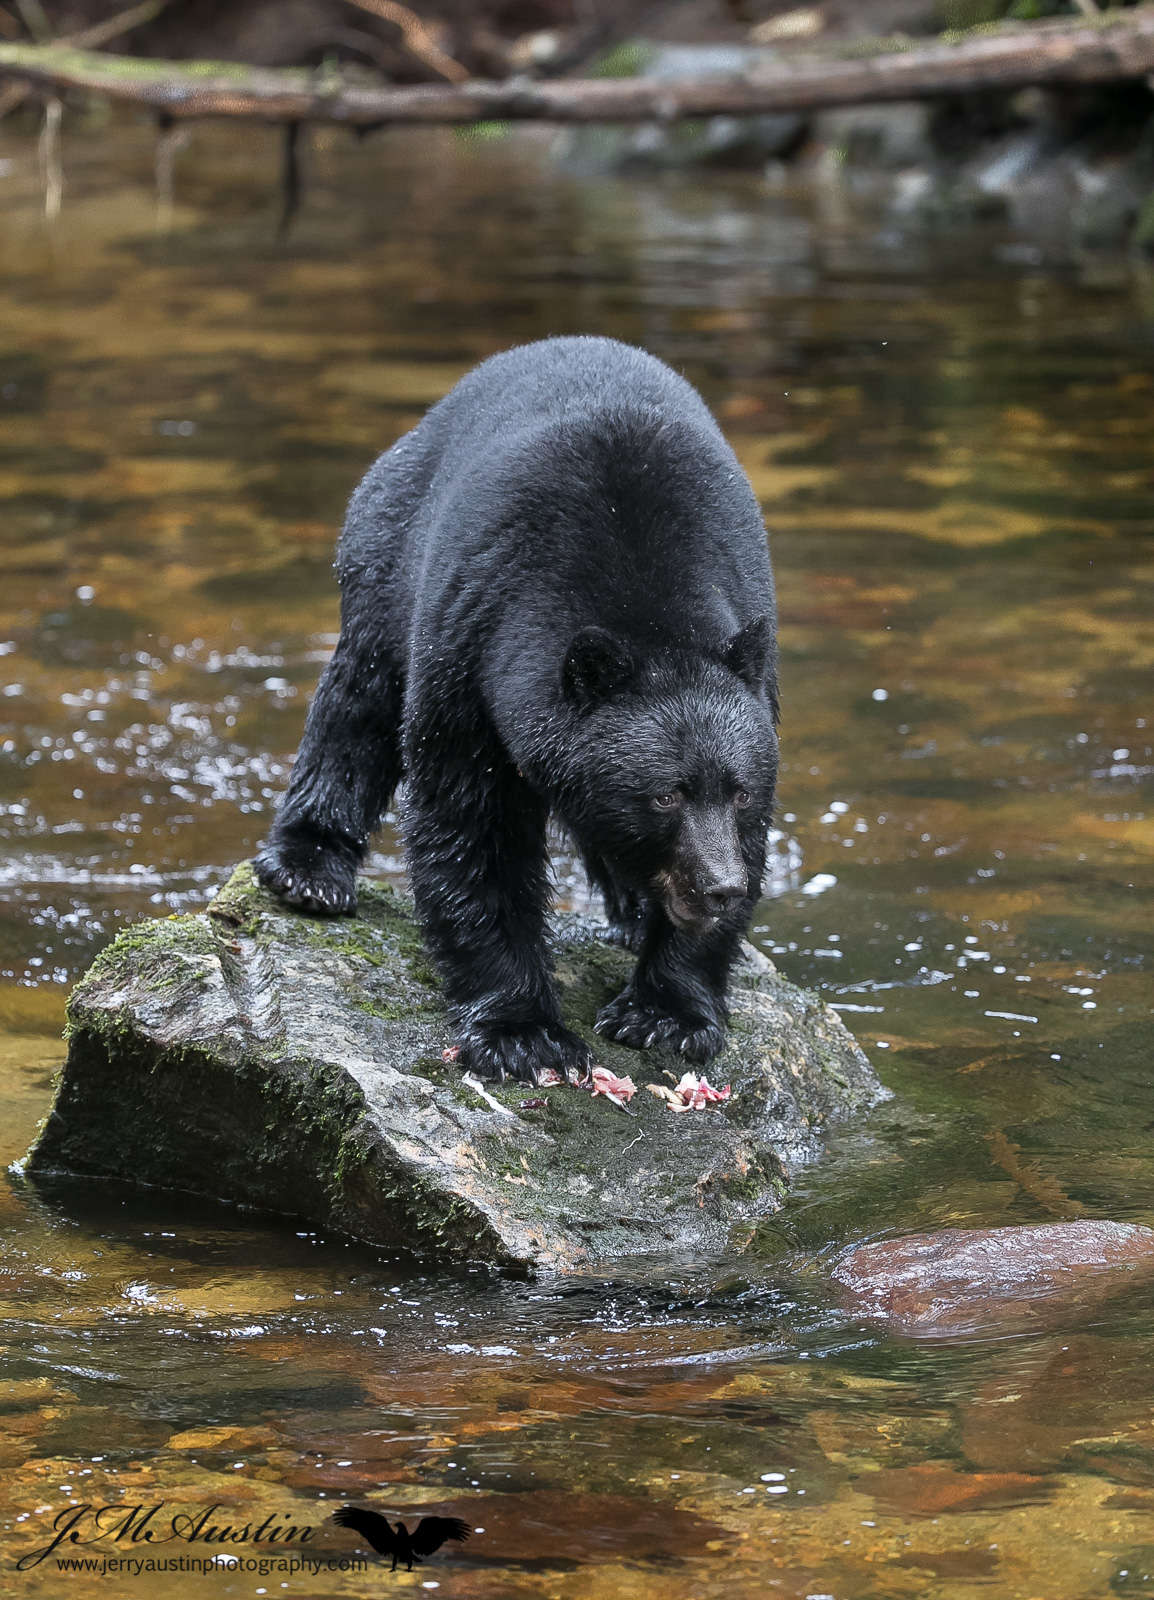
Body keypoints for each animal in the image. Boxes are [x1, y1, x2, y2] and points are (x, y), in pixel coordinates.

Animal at [255, 336, 779, 1084]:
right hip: (386, 552)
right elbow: (473, 829)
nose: (720, 890)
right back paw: (309, 869)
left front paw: (667, 1012)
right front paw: (522, 1034)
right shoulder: (473, 645)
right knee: (357, 705)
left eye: (735, 792)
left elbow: (752, 835)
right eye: (666, 795)